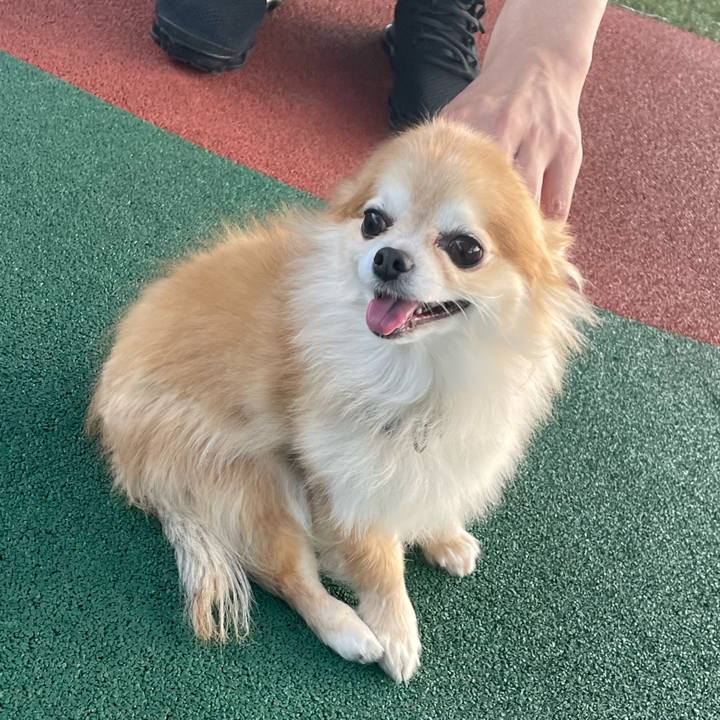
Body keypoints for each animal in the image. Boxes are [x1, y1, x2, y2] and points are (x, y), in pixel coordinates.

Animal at [88, 119, 592, 682]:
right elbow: (379, 563)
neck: (425, 370)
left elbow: (432, 492)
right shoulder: (351, 481)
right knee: (287, 578)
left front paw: (443, 535)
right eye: (374, 221)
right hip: (258, 483)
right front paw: (397, 632)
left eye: (467, 249)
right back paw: (349, 631)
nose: (388, 256)